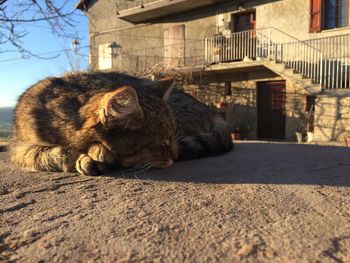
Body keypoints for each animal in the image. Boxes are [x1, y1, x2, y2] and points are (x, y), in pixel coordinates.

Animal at [10, 71, 234, 177]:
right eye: (161, 143)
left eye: (172, 137)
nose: (176, 156)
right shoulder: (19, 149)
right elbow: (48, 154)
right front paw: (84, 156)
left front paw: (98, 152)